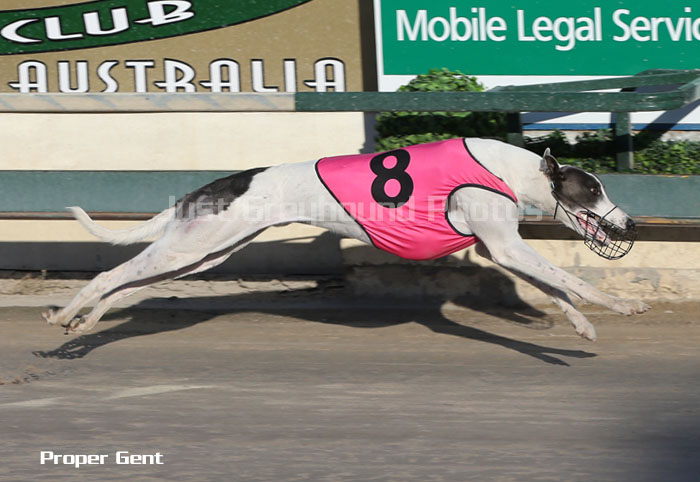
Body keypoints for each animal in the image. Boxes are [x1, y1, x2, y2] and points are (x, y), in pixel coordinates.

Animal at [43, 138, 649, 341]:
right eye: (593, 191)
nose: (631, 226)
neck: (514, 170)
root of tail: (214, 185)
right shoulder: (504, 245)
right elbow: (572, 279)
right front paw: (622, 304)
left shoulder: (498, 247)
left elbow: (557, 288)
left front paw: (582, 326)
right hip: (192, 246)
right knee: (109, 274)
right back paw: (66, 314)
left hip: (204, 253)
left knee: (127, 287)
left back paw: (85, 323)